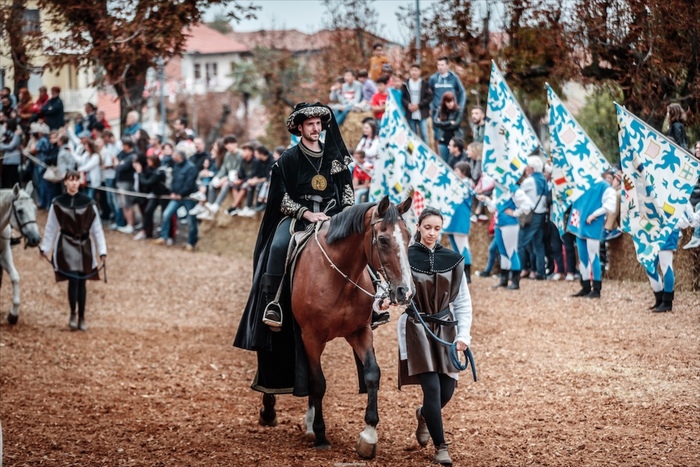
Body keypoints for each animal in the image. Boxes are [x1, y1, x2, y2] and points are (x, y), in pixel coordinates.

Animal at [0, 183, 41, 326]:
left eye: (35, 209)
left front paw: (13, 314)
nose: (35, 239)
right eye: (20, 211)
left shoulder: (4, 254)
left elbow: (15, 277)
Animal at [262, 196, 416, 458]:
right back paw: (269, 411)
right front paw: (321, 435)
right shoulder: (311, 337)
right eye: (383, 240)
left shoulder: (360, 331)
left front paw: (368, 436)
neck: (339, 276)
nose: (405, 291)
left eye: (408, 237)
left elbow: (372, 374)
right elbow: (318, 383)